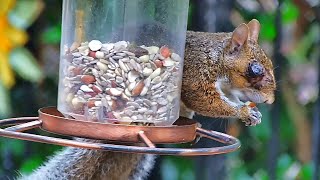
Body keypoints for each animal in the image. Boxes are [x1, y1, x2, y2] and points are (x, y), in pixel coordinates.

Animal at [20, 19, 276, 179]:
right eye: (255, 69)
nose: (271, 101)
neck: (216, 58)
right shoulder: (196, 76)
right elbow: (206, 100)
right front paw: (243, 111)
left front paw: (252, 112)